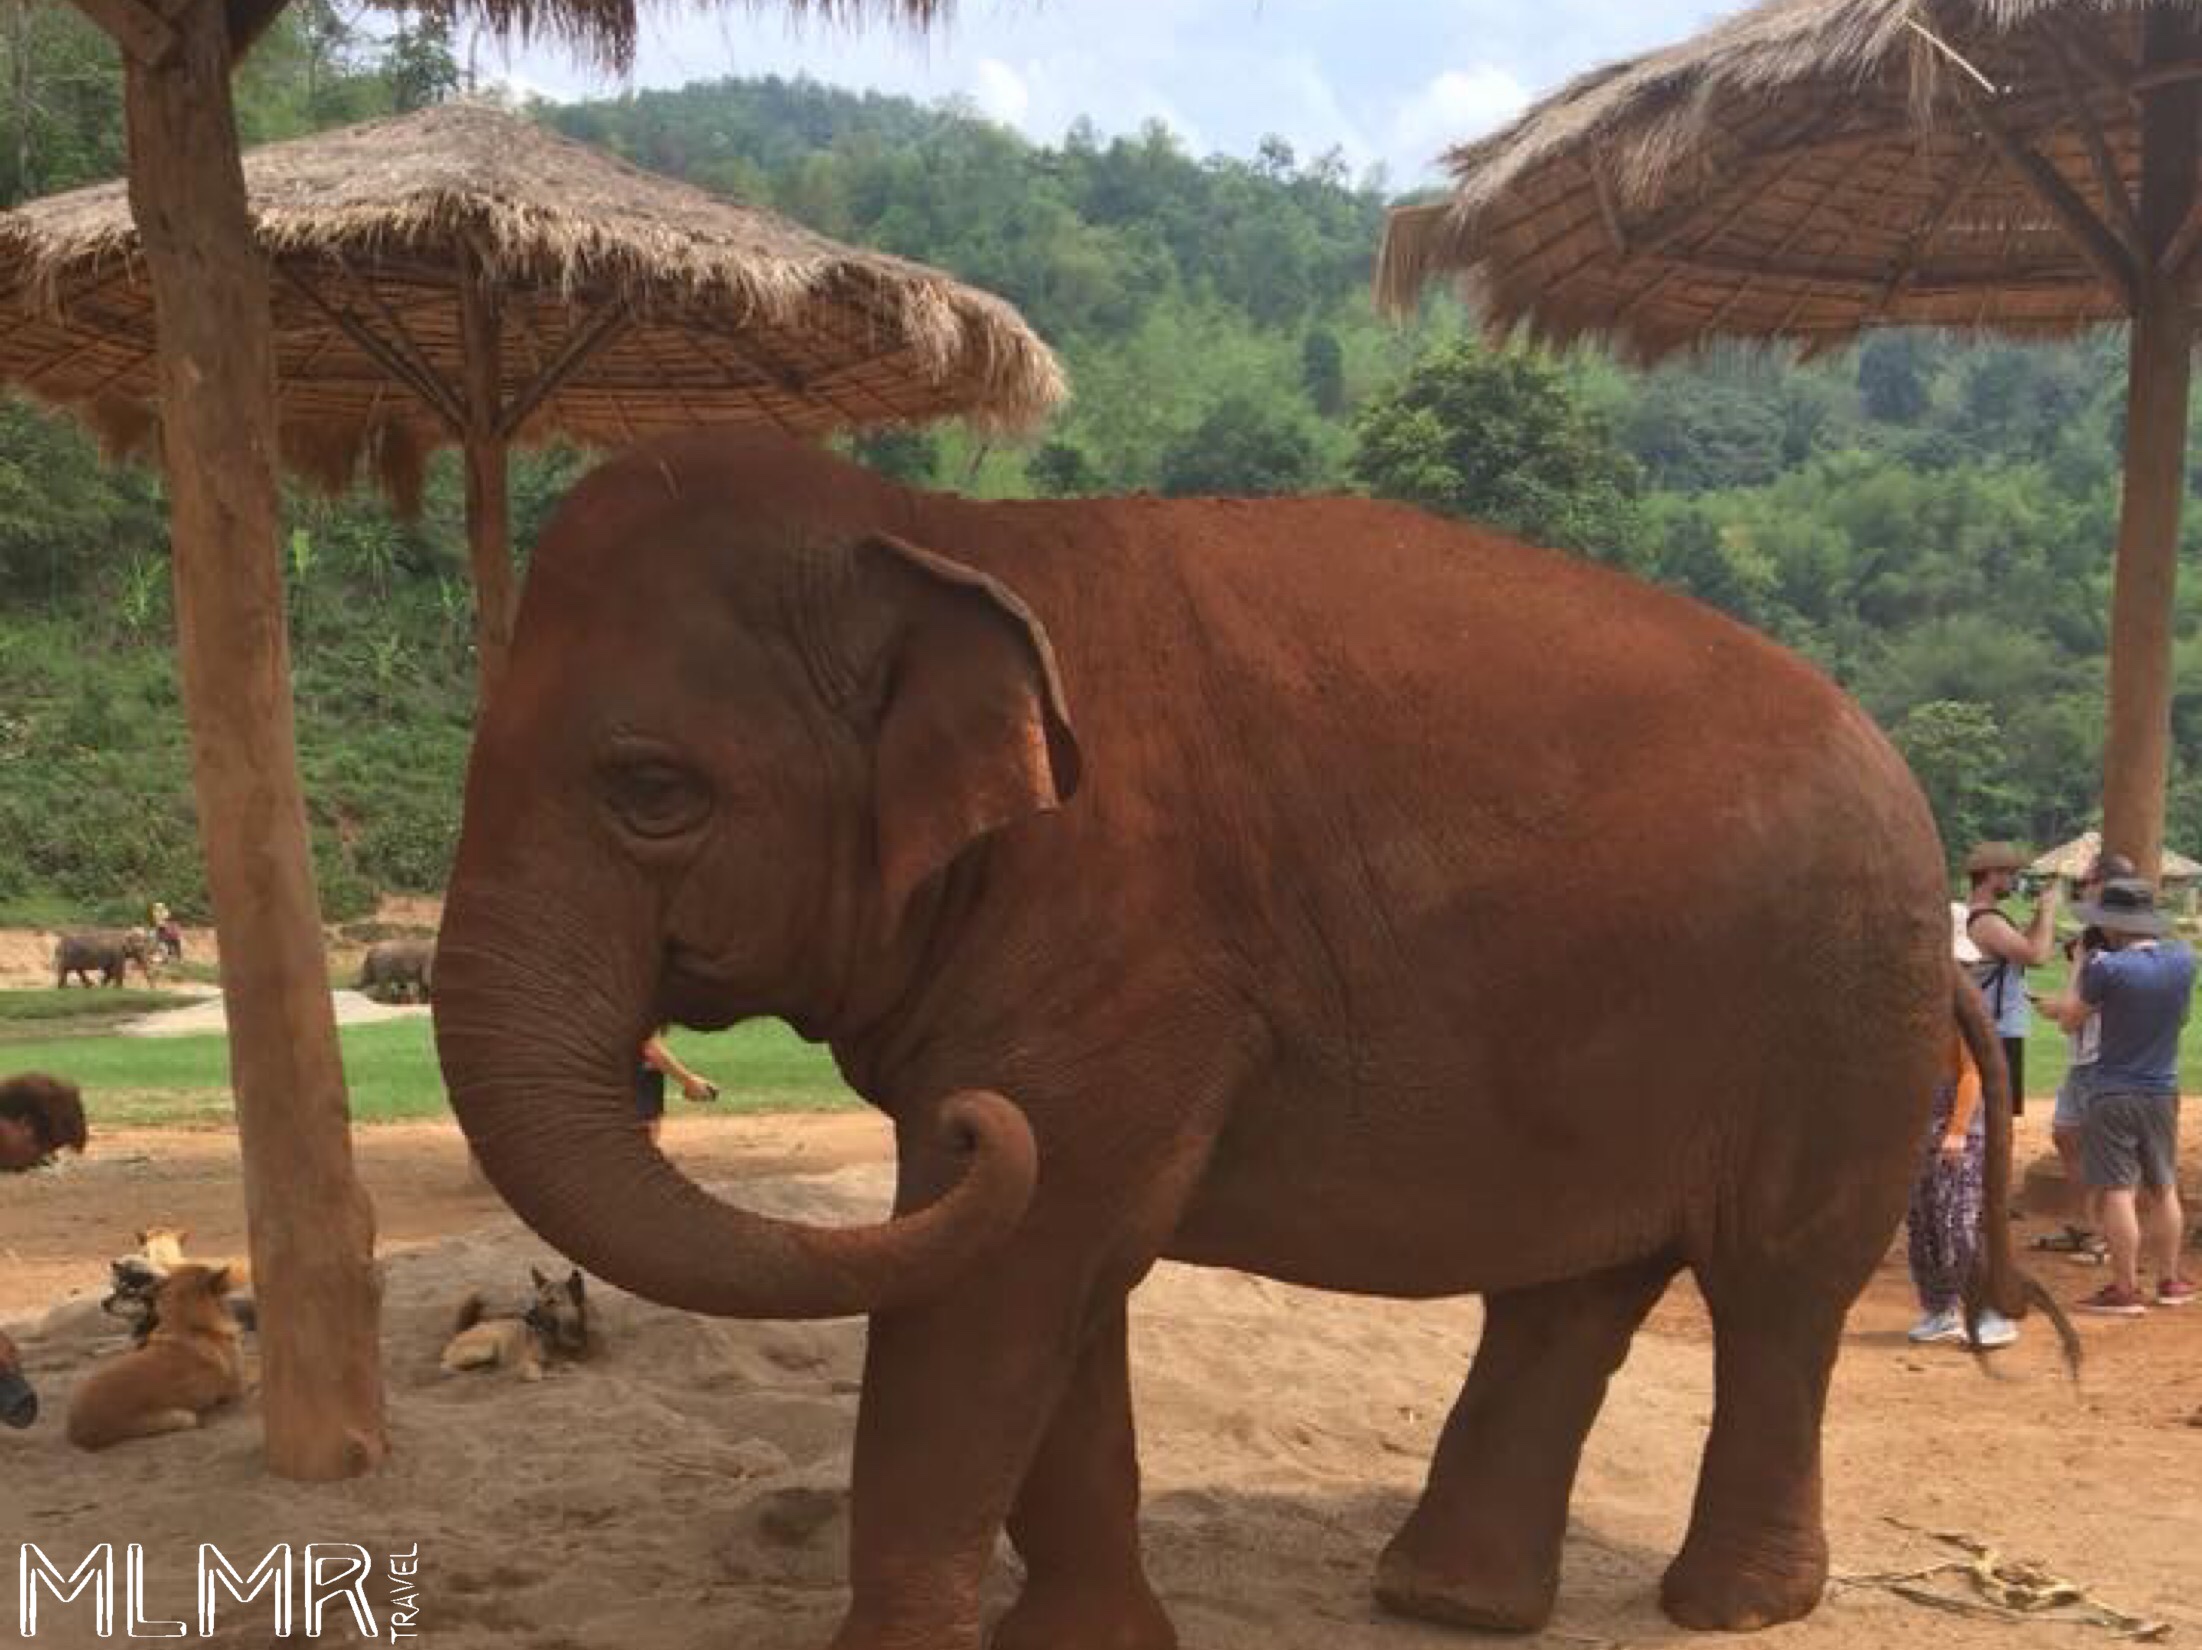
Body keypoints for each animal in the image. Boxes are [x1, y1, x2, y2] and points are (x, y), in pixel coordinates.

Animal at [432, 430, 2024, 1650]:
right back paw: (1444, 1603)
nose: (964, 1126)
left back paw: (1727, 1608)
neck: (932, 529)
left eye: (652, 789)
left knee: (1772, 1291)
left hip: (1838, 1019)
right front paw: (1092, 1643)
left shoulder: (1125, 938)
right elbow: (1055, 1271)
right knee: (1569, 1295)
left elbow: (1021, 1261)